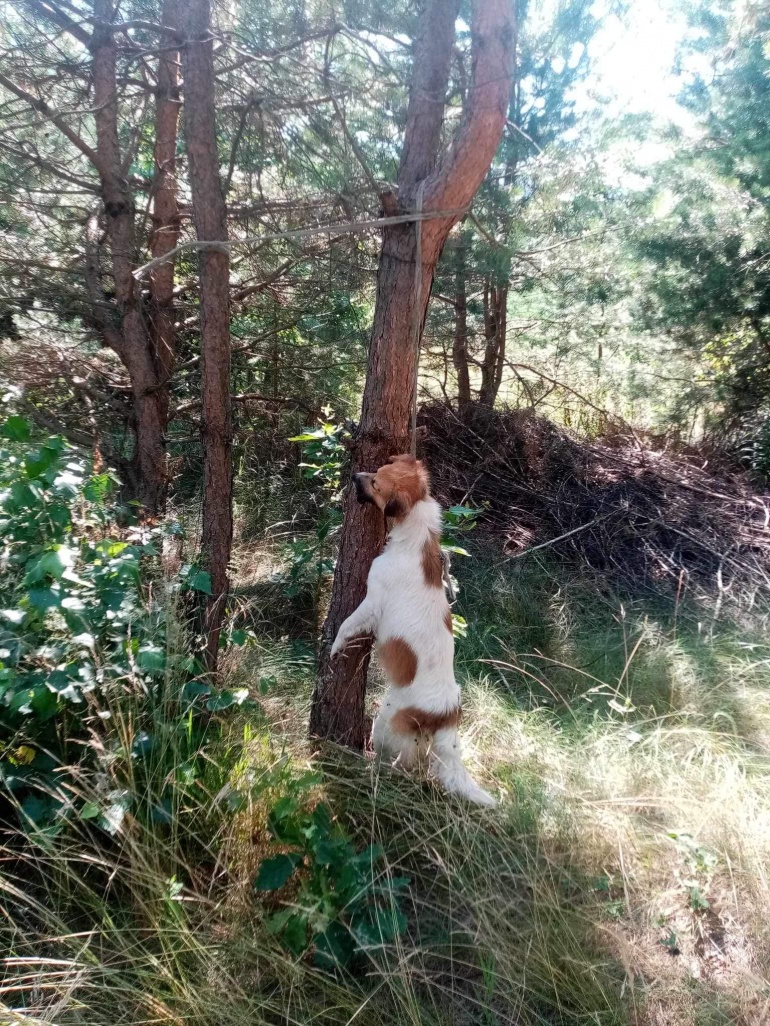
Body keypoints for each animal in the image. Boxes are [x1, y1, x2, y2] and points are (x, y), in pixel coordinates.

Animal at [330, 453, 496, 804]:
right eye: (377, 470)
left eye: (375, 482)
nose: (354, 474)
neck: (414, 540)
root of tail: (447, 714)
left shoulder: (372, 600)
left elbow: (348, 624)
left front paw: (335, 647)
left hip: (384, 721)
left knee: (395, 761)